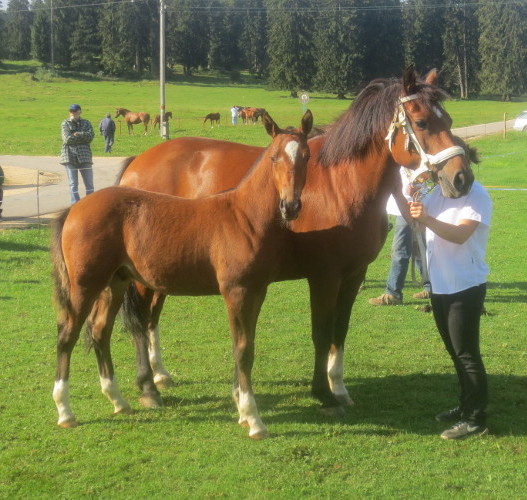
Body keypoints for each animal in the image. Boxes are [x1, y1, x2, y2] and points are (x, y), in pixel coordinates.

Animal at [51, 109, 314, 438]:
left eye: (306, 156)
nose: (290, 206)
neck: (243, 216)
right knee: (67, 335)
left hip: (116, 283)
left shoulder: (256, 291)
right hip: (84, 285)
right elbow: (242, 350)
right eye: (274, 157)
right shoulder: (236, 291)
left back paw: (118, 401)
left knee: (100, 331)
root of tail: (73, 210)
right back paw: (66, 411)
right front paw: (253, 419)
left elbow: (247, 347)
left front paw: (243, 411)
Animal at [116, 65, 474, 422]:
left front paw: (338, 387)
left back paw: (160, 375)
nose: (462, 178)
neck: (341, 182)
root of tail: (137, 162)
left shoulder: (353, 274)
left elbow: (340, 330)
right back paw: (148, 387)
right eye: (422, 122)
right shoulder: (324, 276)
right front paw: (322, 392)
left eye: (449, 120)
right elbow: (321, 333)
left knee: (151, 317)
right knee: (141, 320)